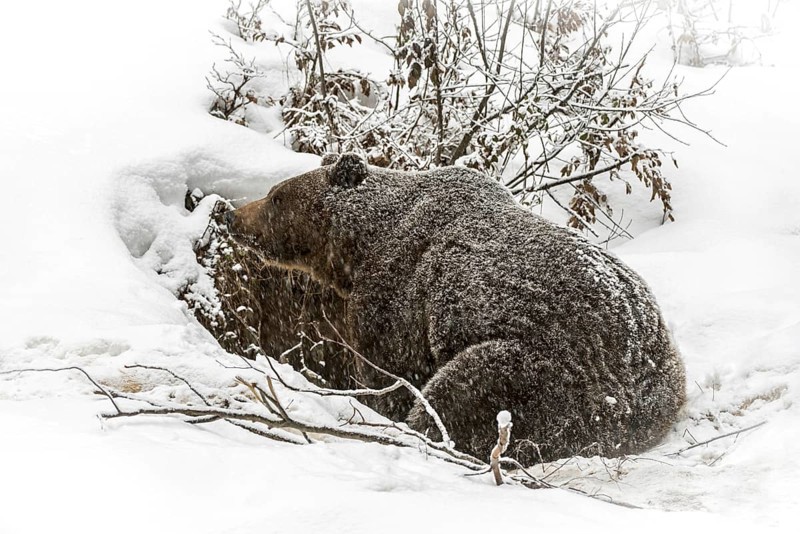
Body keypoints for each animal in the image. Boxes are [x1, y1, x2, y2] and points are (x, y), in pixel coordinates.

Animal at [225, 153, 686, 465]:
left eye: (275, 197)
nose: (232, 214)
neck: (359, 246)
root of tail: (635, 390)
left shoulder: (397, 293)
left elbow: (392, 370)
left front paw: (384, 408)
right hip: (662, 373)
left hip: (551, 371)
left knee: (461, 391)